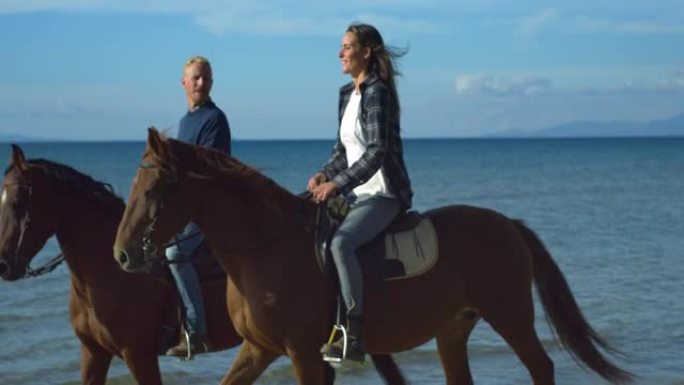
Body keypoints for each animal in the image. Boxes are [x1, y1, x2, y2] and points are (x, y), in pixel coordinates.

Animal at [112, 129, 632, 384]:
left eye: (154, 190)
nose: (121, 255)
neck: (266, 247)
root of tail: (509, 225)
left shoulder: (303, 353)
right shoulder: (258, 349)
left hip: (510, 315)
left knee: (541, 367)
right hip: (453, 329)